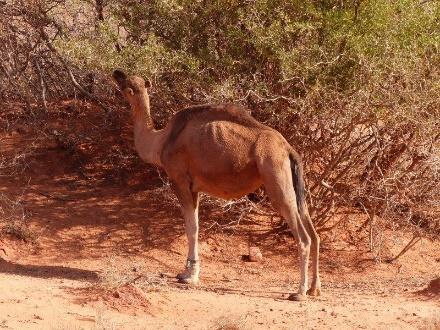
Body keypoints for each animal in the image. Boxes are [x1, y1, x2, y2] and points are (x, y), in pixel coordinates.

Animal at [111, 70, 322, 302]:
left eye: (124, 84)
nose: (116, 73)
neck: (160, 142)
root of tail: (288, 149)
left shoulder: (180, 180)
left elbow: (191, 228)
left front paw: (190, 276)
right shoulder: (194, 188)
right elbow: (195, 225)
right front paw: (186, 272)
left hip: (275, 176)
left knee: (303, 237)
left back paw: (299, 292)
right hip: (294, 183)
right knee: (314, 233)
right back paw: (314, 288)